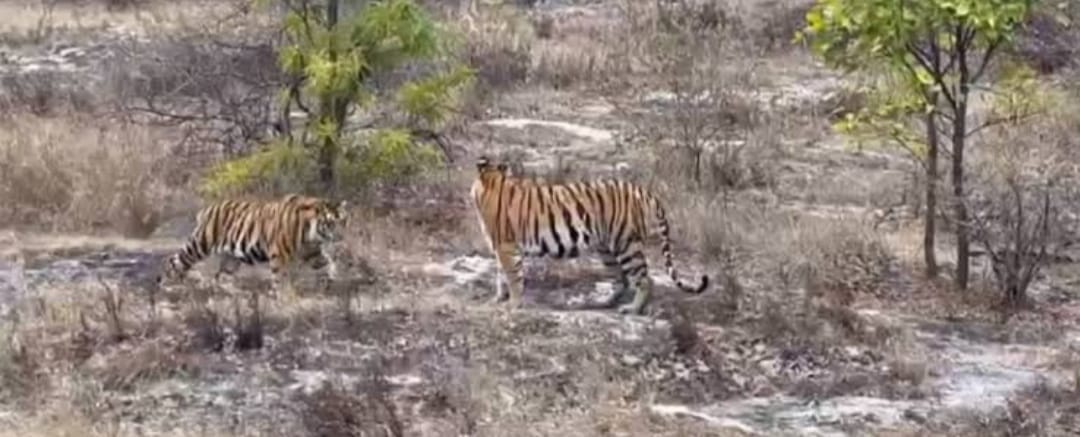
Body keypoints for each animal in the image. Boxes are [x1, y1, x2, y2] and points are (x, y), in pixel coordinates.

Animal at [159, 194, 349, 297]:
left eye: (344, 221)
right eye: (332, 223)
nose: (342, 236)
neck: (313, 233)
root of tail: (206, 209)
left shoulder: (311, 253)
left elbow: (328, 263)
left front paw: (329, 281)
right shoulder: (280, 253)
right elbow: (280, 276)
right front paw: (282, 296)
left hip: (231, 257)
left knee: (221, 277)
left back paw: (235, 293)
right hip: (200, 244)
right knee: (173, 261)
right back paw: (166, 286)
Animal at [470, 156, 709, 315]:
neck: (490, 184)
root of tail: (641, 190)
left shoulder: (506, 246)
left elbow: (513, 276)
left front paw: (513, 304)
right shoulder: (500, 248)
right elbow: (501, 275)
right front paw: (498, 298)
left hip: (626, 244)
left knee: (644, 278)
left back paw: (632, 308)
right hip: (607, 249)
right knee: (622, 280)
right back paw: (604, 303)